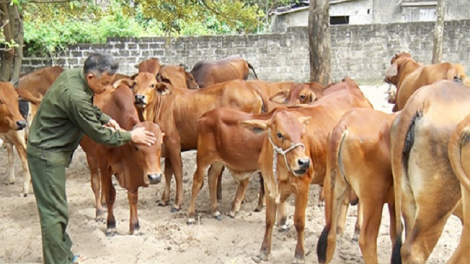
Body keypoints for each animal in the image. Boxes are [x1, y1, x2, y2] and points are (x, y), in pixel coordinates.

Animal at [81, 83, 166, 235]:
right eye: (137, 147)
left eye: (161, 145)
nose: (155, 177)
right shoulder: (105, 165)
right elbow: (110, 194)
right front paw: (111, 225)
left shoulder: (132, 172)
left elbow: (133, 197)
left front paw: (135, 226)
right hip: (91, 157)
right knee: (96, 184)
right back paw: (99, 212)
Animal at [132, 72, 268, 212]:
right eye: (134, 83)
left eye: (152, 85)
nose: (139, 97)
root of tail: (250, 86)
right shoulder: (166, 146)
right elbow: (168, 173)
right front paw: (165, 199)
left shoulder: (173, 142)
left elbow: (177, 172)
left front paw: (177, 203)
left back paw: (238, 206)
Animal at [242, 77, 374, 262]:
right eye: (279, 134)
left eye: (302, 133)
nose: (304, 162)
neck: (282, 170)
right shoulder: (269, 187)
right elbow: (269, 220)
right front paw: (264, 251)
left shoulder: (302, 187)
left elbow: (299, 222)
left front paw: (299, 254)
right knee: (345, 200)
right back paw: (339, 230)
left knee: (361, 201)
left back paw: (356, 230)